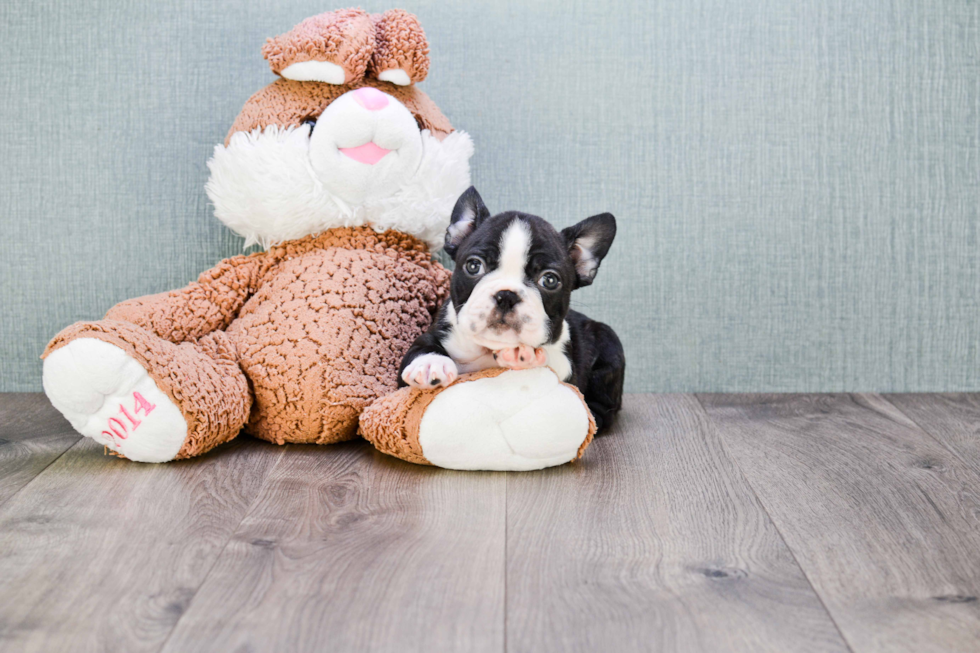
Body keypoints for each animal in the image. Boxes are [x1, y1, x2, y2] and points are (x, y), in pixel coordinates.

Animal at [400, 187, 624, 432]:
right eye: (473, 266)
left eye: (550, 280)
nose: (506, 295)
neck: (490, 350)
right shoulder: (432, 336)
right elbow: (422, 347)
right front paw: (430, 363)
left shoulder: (567, 365)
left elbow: (553, 361)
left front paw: (523, 354)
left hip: (609, 343)